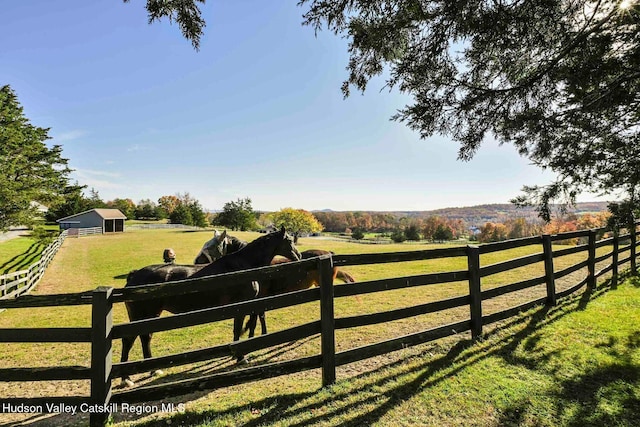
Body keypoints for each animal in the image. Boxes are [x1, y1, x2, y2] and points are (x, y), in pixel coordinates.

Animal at [121, 227, 302, 388]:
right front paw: (241, 357)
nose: (299, 256)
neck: (242, 266)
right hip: (142, 315)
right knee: (129, 340)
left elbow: (236, 330)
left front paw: (236, 355)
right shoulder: (242, 305)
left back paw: (153, 370)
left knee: (145, 338)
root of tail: (135, 275)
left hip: (150, 316)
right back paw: (126, 379)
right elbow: (239, 328)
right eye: (289, 240)